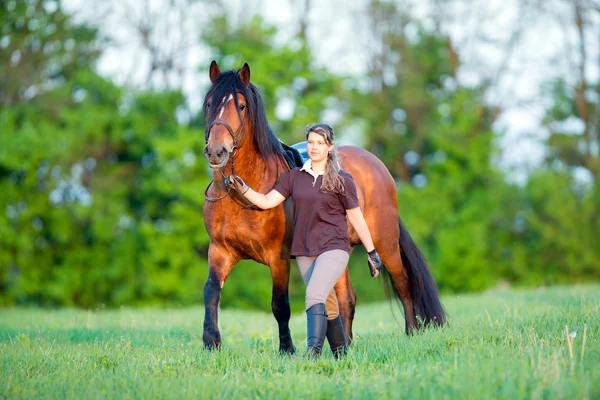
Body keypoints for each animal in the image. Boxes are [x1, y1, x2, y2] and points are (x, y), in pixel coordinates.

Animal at [202, 60, 446, 354]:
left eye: (241, 106)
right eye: (209, 103)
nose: (216, 151)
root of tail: (377, 165)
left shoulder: (277, 257)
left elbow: (280, 305)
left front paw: (287, 350)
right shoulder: (220, 251)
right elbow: (211, 292)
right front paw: (211, 343)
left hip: (384, 241)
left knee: (403, 283)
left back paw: (411, 333)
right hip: (341, 248)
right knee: (347, 298)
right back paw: (345, 346)